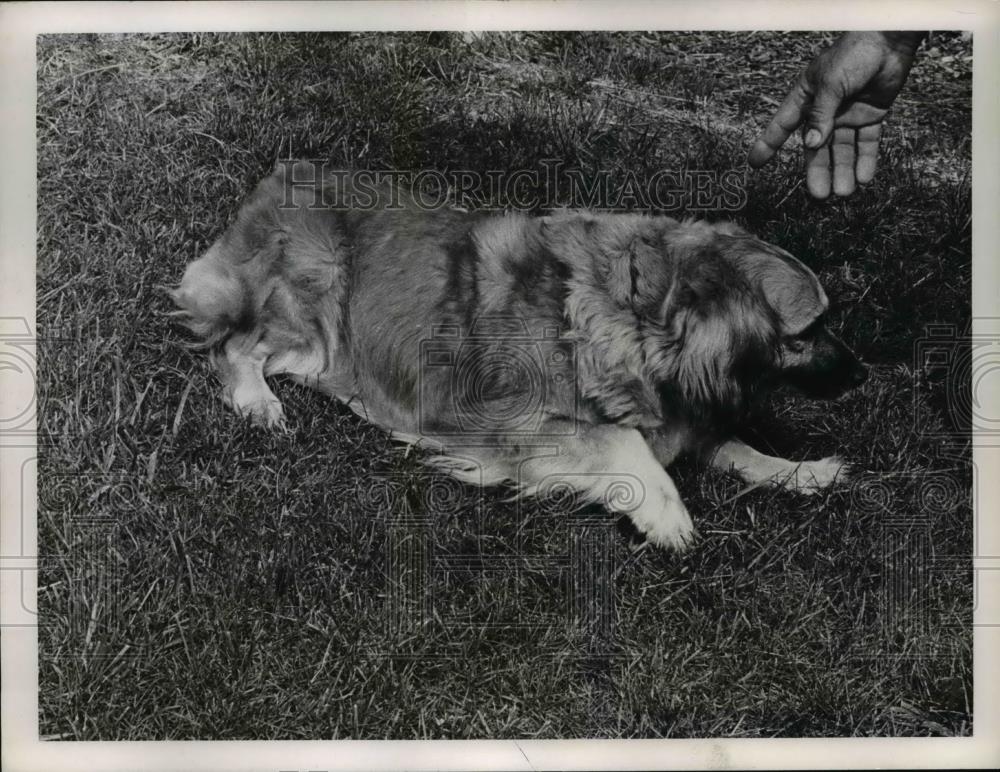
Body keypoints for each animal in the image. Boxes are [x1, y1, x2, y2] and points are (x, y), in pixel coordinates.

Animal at [168, 161, 864, 548]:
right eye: (808, 331)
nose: (863, 372)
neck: (634, 315)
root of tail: (280, 177)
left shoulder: (687, 417)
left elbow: (739, 448)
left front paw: (804, 472)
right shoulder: (518, 425)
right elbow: (624, 444)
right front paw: (668, 514)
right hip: (315, 287)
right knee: (235, 345)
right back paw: (258, 403)